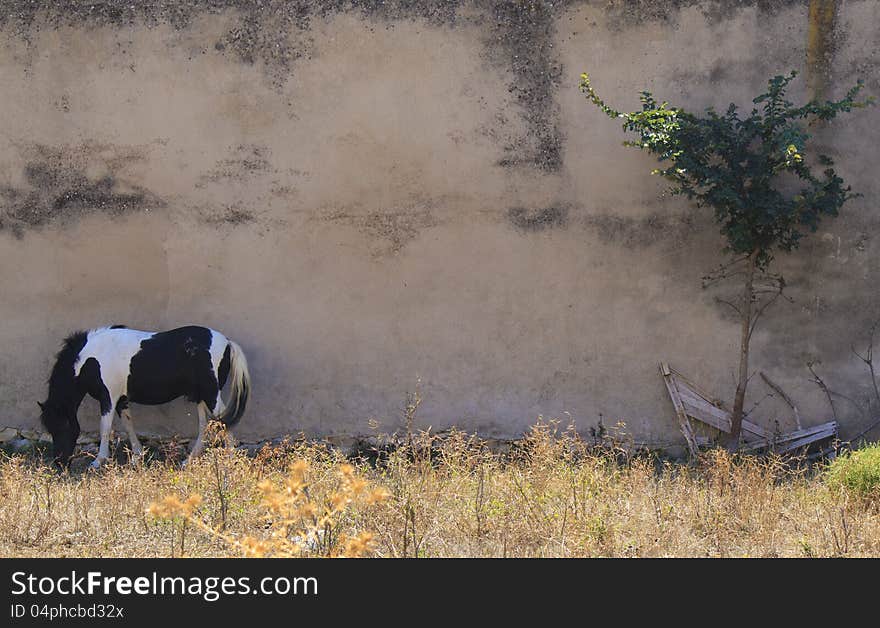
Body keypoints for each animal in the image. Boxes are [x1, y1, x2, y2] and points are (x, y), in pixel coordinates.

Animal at [38, 326, 251, 468]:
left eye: (62, 426)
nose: (60, 463)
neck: (90, 358)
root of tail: (228, 343)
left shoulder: (108, 398)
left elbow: (105, 428)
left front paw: (98, 461)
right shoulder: (121, 400)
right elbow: (128, 424)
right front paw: (137, 455)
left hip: (210, 394)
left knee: (223, 421)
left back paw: (229, 459)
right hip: (201, 396)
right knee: (205, 424)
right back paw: (189, 460)